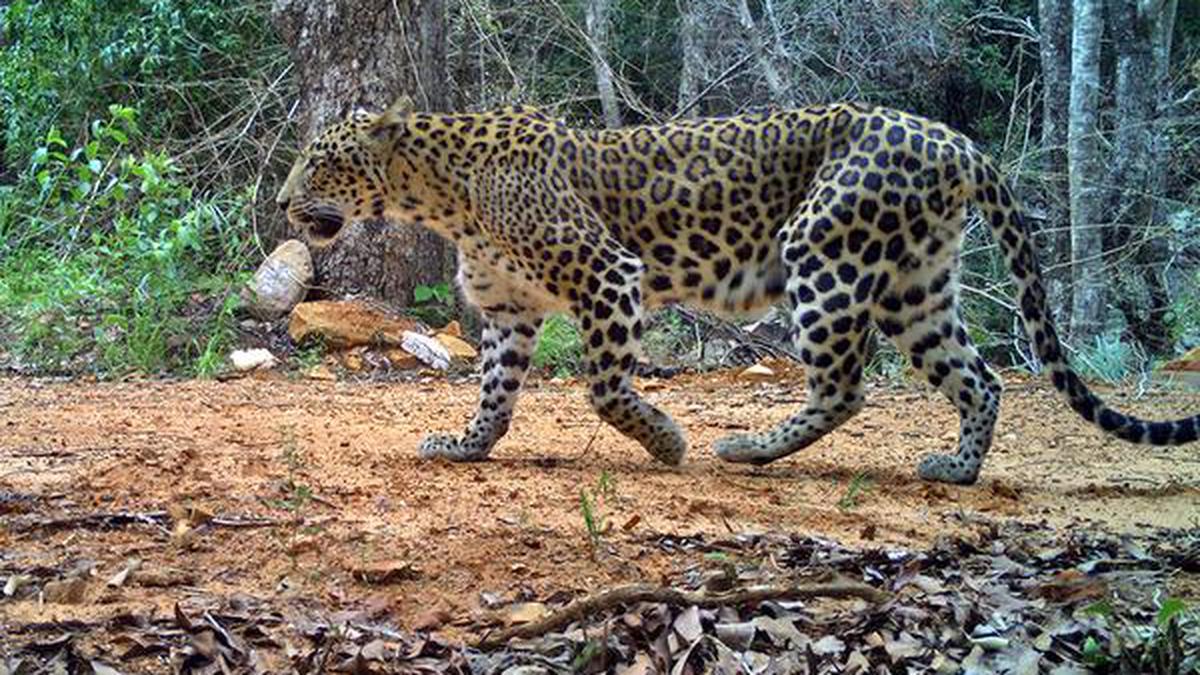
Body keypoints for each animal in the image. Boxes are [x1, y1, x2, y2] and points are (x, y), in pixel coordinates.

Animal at [276, 96, 1195, 482]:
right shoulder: (508, 310)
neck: (439, 195)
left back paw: (748, 448)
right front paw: (467, 445)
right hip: (916, 284)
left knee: (845, 383)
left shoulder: (609, 274)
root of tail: (953, 138)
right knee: (981, 378)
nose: (282, 201)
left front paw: (666, 440)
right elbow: (496, 394)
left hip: (825, 251)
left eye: (319, 161)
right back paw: (957, 469)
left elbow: (605, 387)